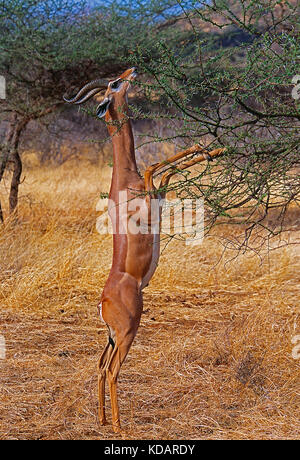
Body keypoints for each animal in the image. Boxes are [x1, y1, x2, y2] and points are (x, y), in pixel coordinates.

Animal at [65, 68, 225, 434]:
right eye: (113, 84)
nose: (131, 71)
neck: (126, 178)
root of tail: (102, 302)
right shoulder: (151, 190)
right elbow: (157, 165)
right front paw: (208, 147)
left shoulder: (160, 192)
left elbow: (168, 170)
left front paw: (215, 150)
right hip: (127, 334)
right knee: (112, 371)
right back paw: (119, 426)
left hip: (111, 337)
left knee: (99, 366)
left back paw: (101, 418)